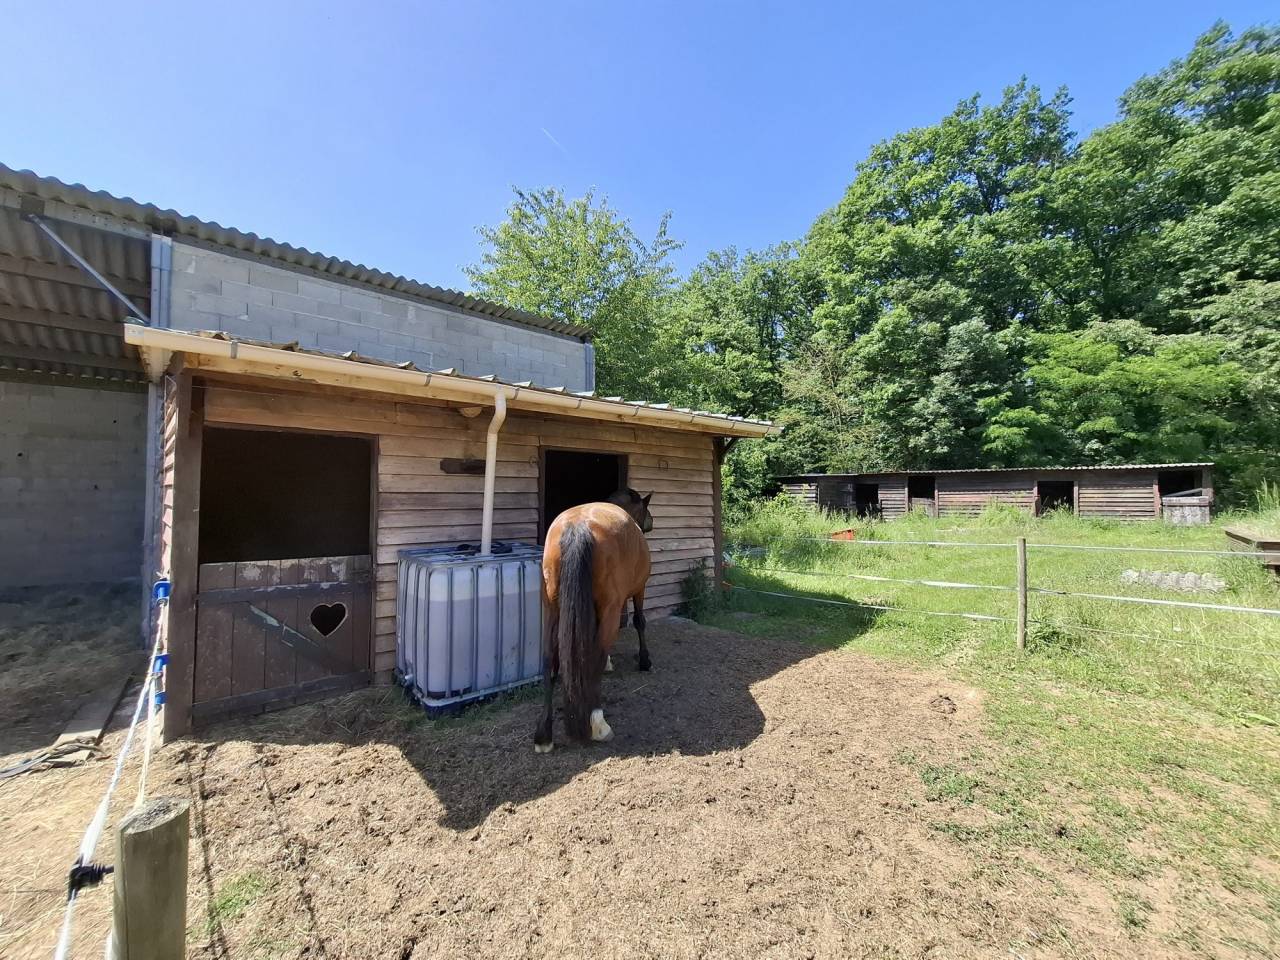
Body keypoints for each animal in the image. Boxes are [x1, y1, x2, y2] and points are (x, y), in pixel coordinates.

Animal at [533, 488, 653, 753]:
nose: (651, 523)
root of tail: (578, 526)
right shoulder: (638, 591)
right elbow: (639, 622)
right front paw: (644, 661)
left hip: (551, 608)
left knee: (548, 659)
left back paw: (544, 735)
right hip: (610, 606)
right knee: (595, 655)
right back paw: (598, 725)